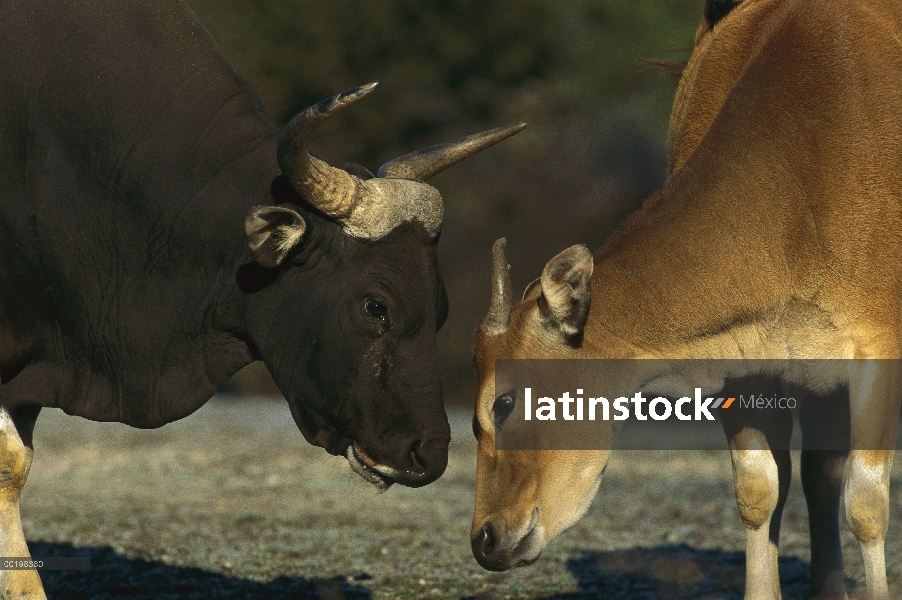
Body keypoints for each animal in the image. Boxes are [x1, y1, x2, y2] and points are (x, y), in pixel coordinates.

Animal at [474, 1, 902, 600]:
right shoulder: (745, 358)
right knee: (818, 469)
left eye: (503, 402)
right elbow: (758, 489)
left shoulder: (876, 351)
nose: (486, 538)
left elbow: (866, 503)